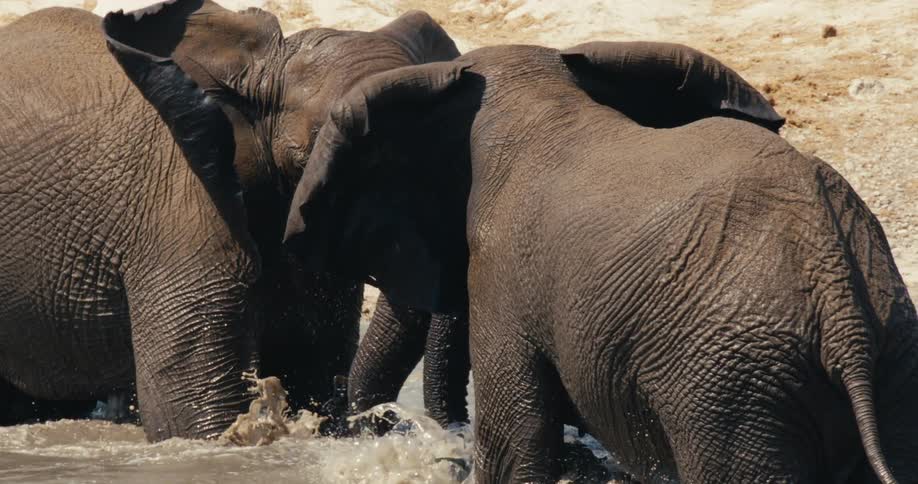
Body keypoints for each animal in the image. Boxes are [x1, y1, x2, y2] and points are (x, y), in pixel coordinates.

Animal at [284, 42, 918, 482]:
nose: (392, 428)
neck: (539, 92)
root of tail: (843, 306)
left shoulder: (503, 271)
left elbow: (514, 445)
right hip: (886, 356)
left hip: (735, 385)